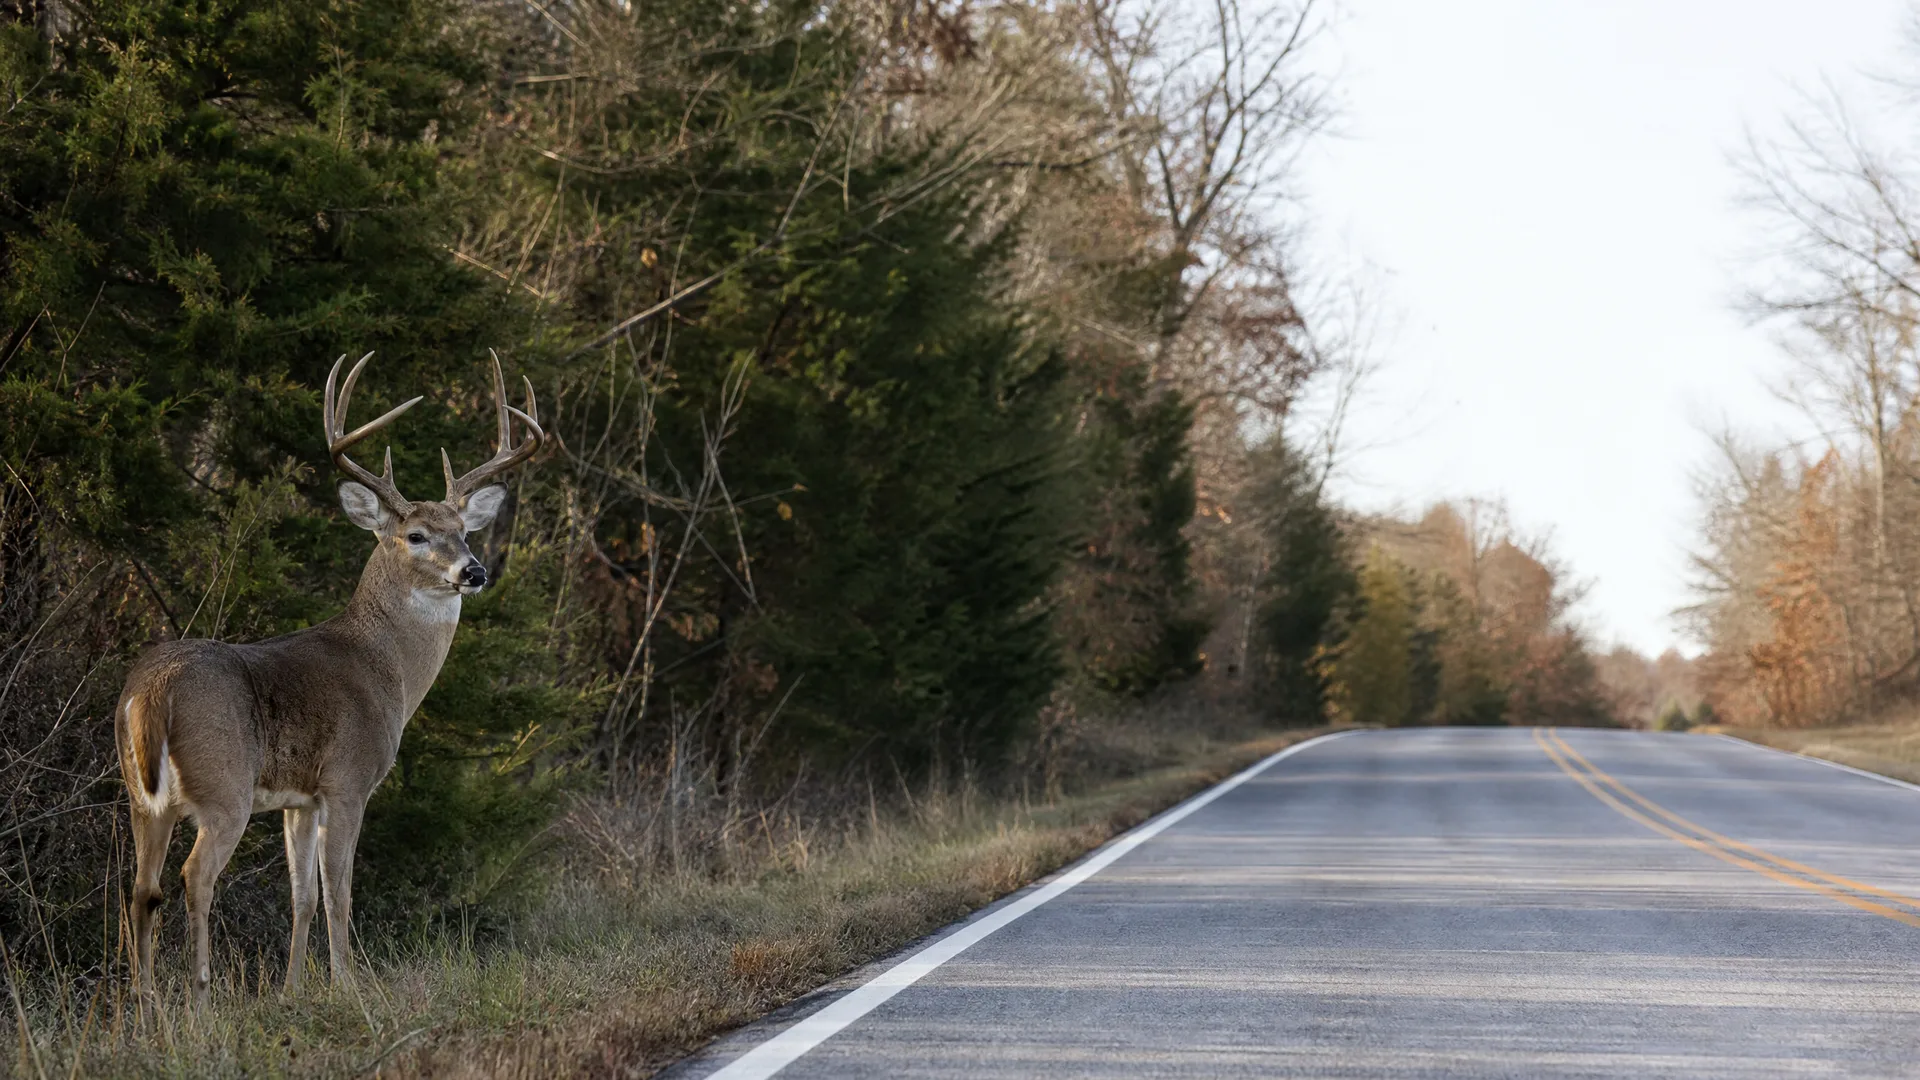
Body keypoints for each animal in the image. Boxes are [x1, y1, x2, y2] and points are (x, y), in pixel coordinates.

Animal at [114, 350, 545, 1006]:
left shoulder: (299, 797)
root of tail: (150, 694)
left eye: (465, 531)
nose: (473, 571)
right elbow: (340, 892)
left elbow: (302, 895)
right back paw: (199, 998)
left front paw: (292, 991)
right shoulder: (348, 780)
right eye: (416, 535)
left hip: (141, 796)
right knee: (193, 877)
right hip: (225, 786)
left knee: (141, 888)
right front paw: (350, 987)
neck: (385, 668)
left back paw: (144, 1007)